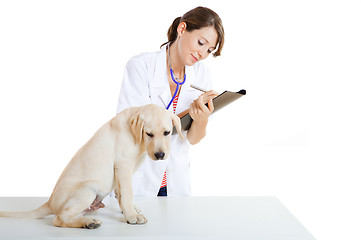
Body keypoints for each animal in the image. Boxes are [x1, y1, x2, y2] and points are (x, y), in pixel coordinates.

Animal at [0, 104, 183, 229]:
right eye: (149, 134)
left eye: (167, 133)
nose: (160, 155)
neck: (138, 138)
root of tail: (50, 203)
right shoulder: (123, 165)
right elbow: (127, 193)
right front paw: (131, 216)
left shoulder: (122, 171)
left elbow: (121, 194)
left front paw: (129, 210)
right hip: (87, 190)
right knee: (59, 218)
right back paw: (89, 223)